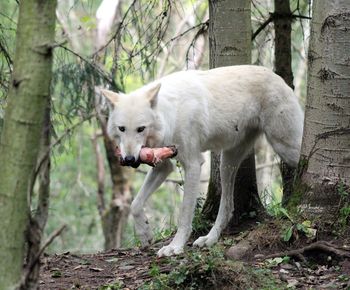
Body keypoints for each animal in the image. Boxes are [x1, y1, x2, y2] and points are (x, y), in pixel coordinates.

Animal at [101, 65, 304, 256]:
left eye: (141, 129)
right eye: (121, 128)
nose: (129, 159)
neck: (171, 113)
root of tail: (279, 79)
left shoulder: (193, 165)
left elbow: (184, 215)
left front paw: (174, 247)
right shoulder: (163, 166)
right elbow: (135, 204)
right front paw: (145, 233)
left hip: (284, 147)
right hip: (226, 162)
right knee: (228, 207)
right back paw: (209, 239)